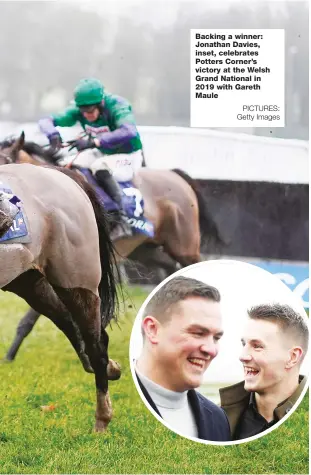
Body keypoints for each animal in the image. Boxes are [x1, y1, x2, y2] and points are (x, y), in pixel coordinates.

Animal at [0, 162, 119, 434]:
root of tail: (62, 174)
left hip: (77, 281)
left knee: (95, 343)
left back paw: (102, 419)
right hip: (28, 280)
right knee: (70, 323)